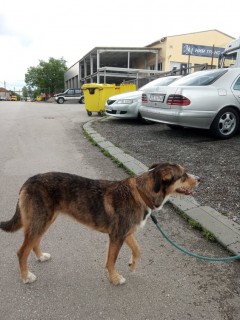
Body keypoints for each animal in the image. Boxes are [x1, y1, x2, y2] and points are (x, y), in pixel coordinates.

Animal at [0, 164, 200, 284]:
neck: (141, 192)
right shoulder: (117, 236)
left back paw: (41, 257)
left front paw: (132, 264)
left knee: (34, 243)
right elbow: (111, 261)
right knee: (21, 252)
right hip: (40, 221)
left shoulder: (126, 233)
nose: (199, 179)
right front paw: (115, 278)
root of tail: (29, 180)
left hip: (45, 221)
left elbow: (137, 250)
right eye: (182, 175)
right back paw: (26, 276)